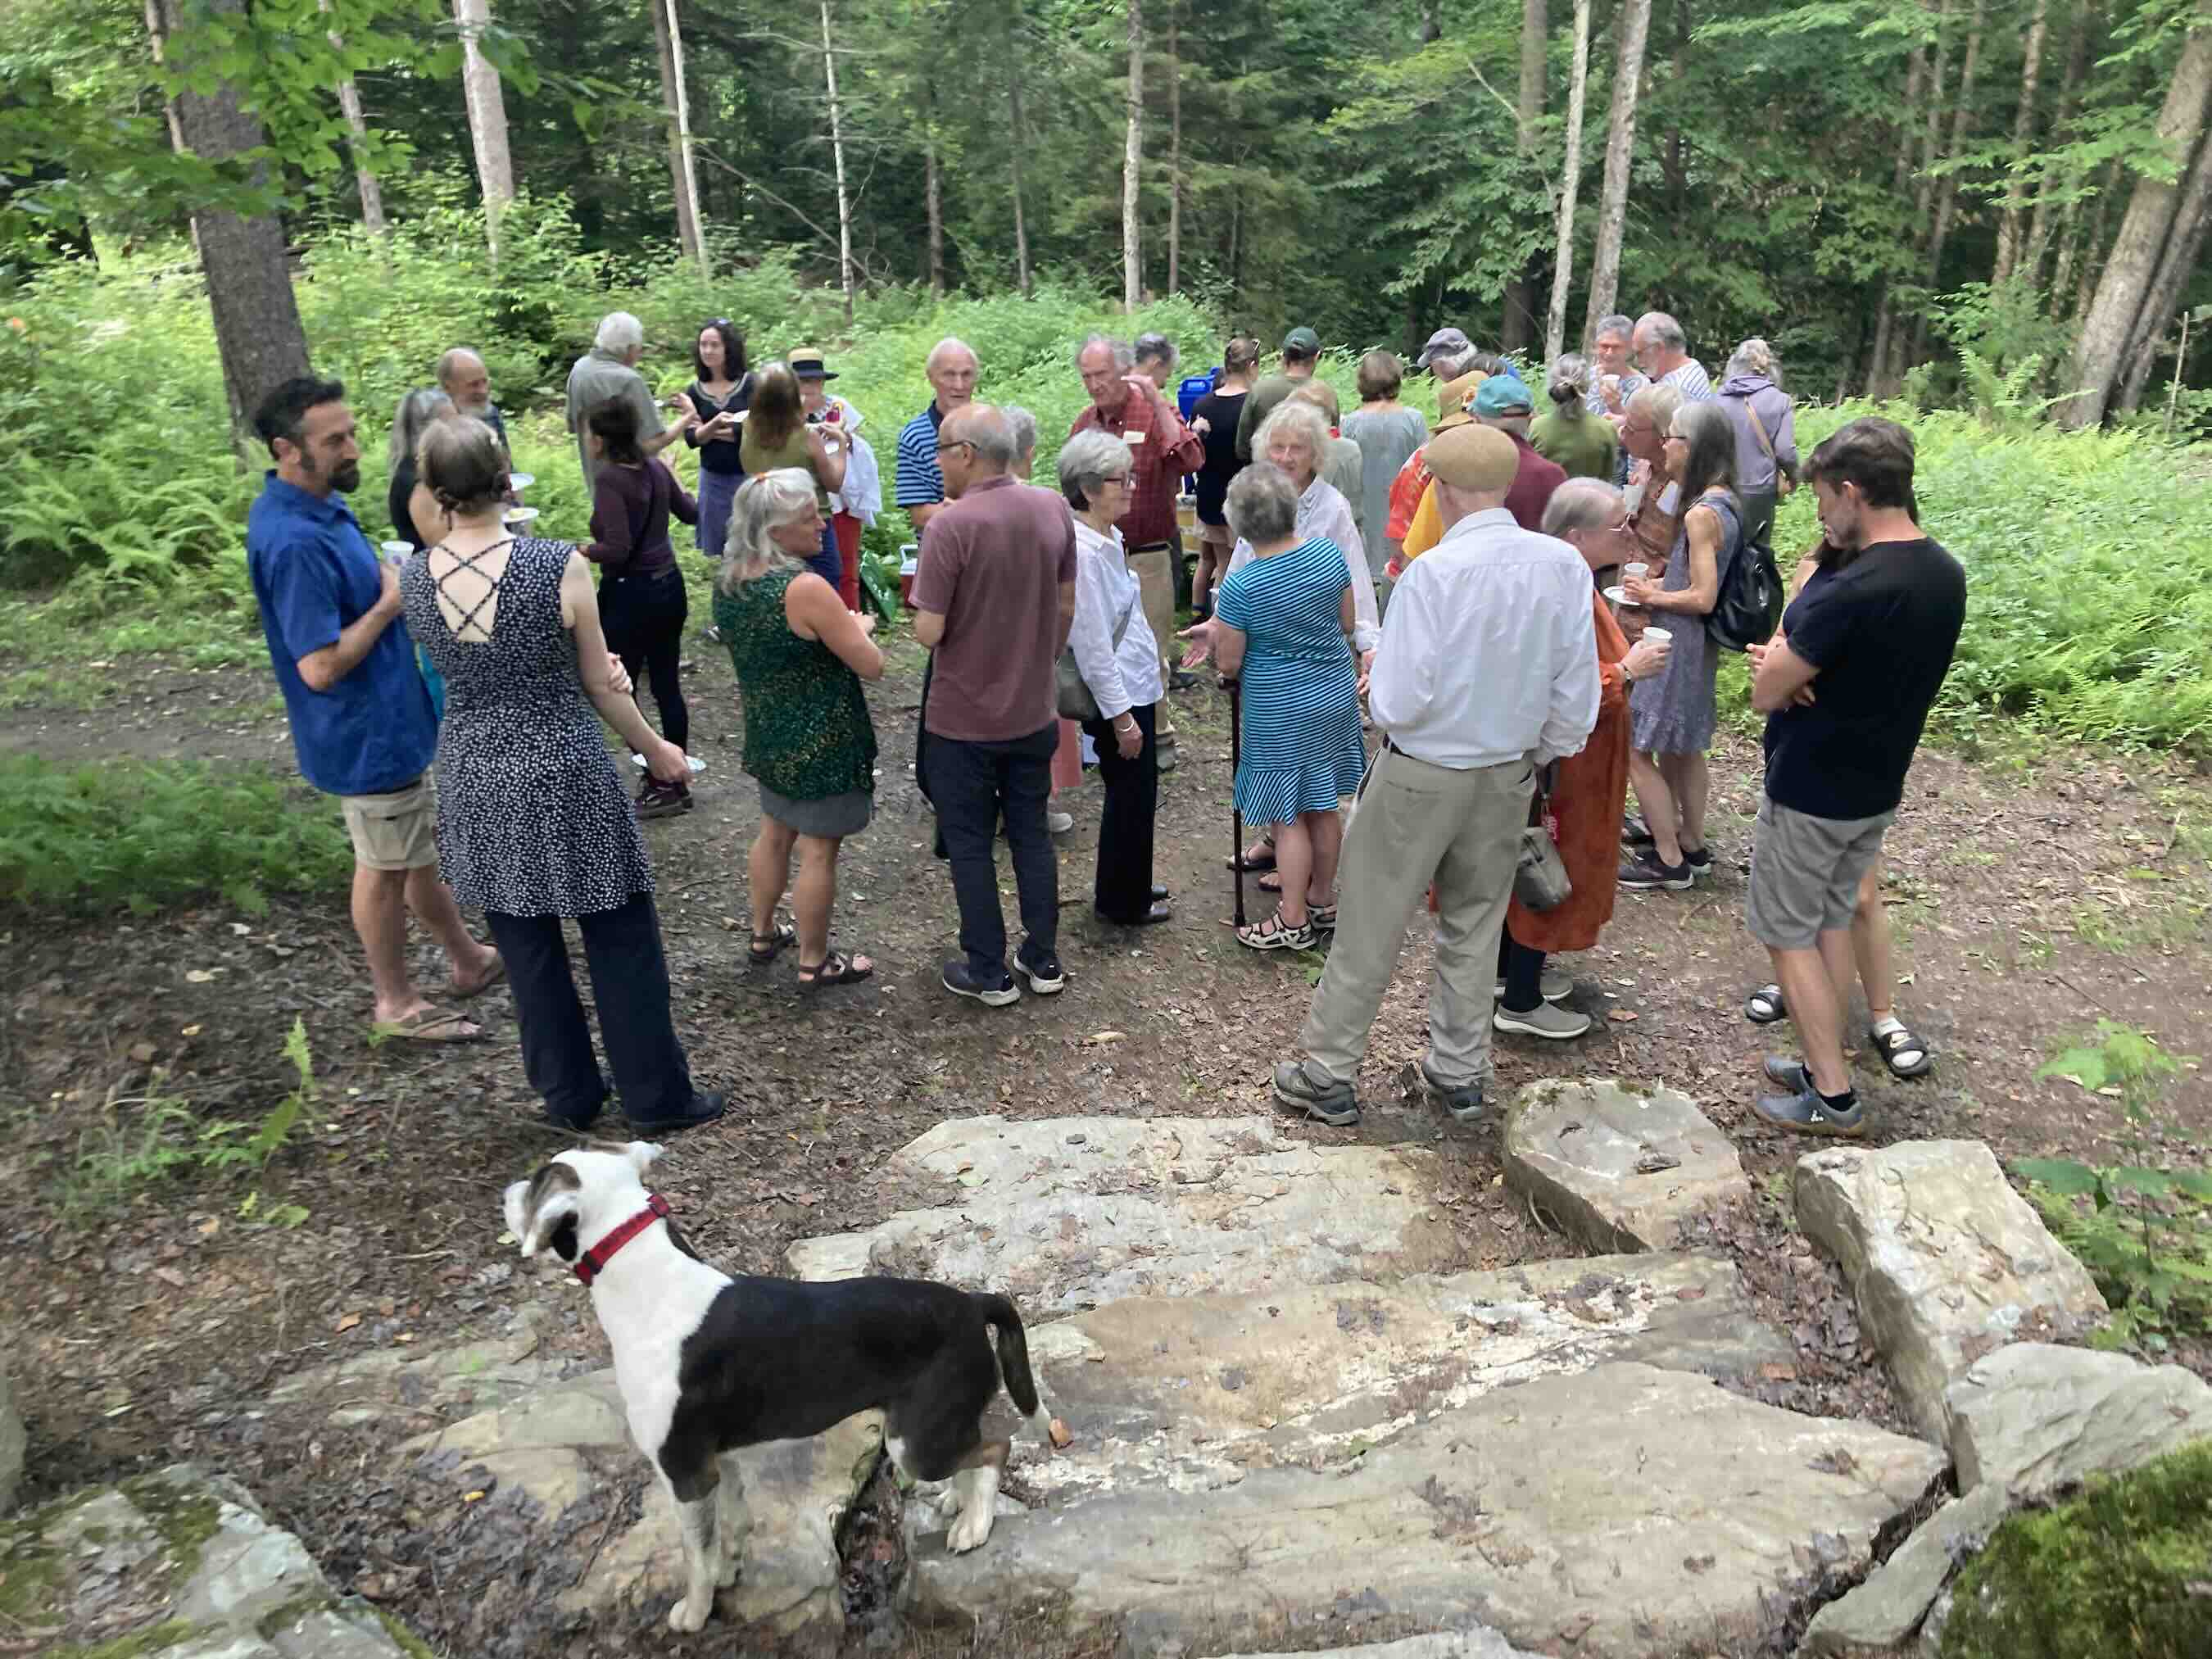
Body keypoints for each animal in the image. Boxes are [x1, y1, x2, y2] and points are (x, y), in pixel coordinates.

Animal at [501, 1141, 1053, 1637]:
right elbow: (730, 1526)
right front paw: (730, 1568)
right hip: (931, 1430)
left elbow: (695, 1557)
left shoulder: (685, 1473)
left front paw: (695, 1613)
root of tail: (973, 1303)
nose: (507, 1192)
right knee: (973, 1450)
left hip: (910, 1444)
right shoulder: (719, 1461)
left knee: (996, 1448)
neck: (648, 1284)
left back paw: (974, 1526)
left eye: (536, 1181)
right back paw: (957, 1502)